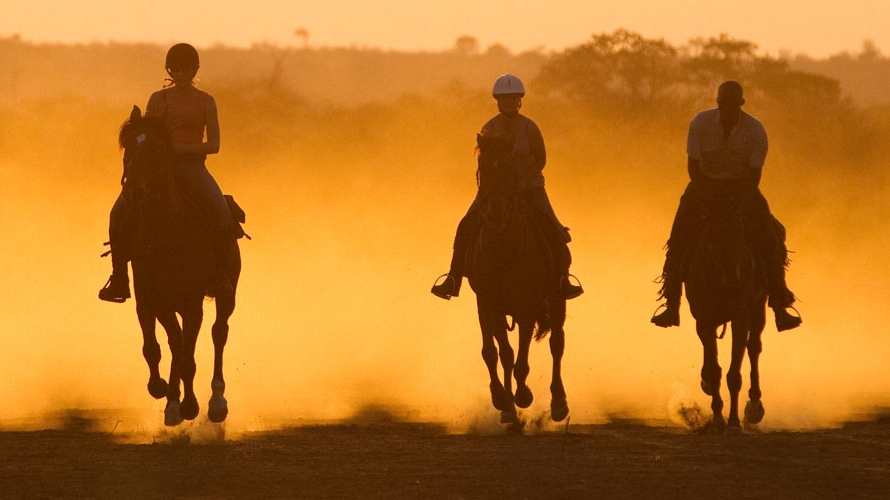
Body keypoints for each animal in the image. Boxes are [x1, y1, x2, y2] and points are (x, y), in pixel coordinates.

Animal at [119, 104, 243, 426]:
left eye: (156, 149)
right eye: (127, 147)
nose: (134, 191)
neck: (167, 235)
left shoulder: (191, 303)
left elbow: (188, 355)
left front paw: (190, 405)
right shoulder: (154, 301)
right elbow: (160, 347)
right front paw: (165, 394)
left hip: (227, 295)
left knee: (218, 333)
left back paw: (216, 402)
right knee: (177, 343)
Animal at [464, 132, 568, 426]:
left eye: (510, 167)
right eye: (483, 166)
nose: (496, 212)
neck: (502, 249)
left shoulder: (527, 307)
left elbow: (522, 360)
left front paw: (523, 396)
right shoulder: (488, 306)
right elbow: (496, 353)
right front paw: (504, 402)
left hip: (557, 299)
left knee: (557, 343)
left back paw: (559, 404)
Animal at [680, 184, 772, 434]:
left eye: (741, 241)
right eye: (712, 244)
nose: (733, 285)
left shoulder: (741, 317)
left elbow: (734, 374)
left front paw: (732, 423)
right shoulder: (703, 319)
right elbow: (714, 370)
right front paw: (718, 418)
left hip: (758, 309)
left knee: (754, 348)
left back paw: (754, 407)